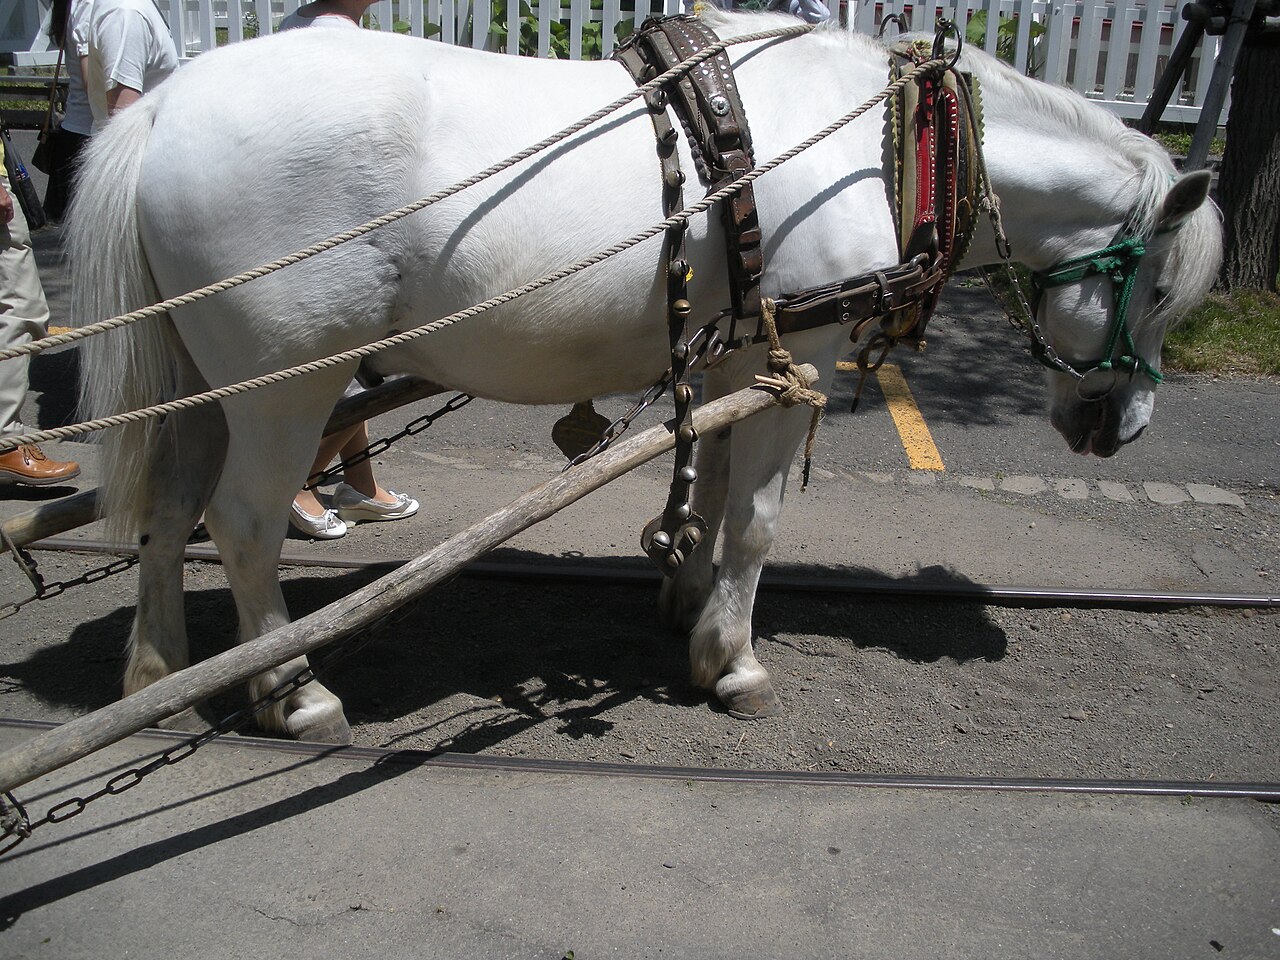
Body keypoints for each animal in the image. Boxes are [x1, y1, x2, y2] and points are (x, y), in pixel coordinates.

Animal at [70, 10, 1220, 743]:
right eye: (1163, 289)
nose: (1123, 424)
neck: (877, 139)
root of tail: (161, 110)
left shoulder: (741, 350)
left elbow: (708, 494)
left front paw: (686, 597)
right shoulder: (796, 355)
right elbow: (755, 517)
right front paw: (734, 661)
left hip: (200, 387)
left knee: (166, 508)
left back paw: (156, 673)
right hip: (284, 384)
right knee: (243, 522)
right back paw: (290, 691)